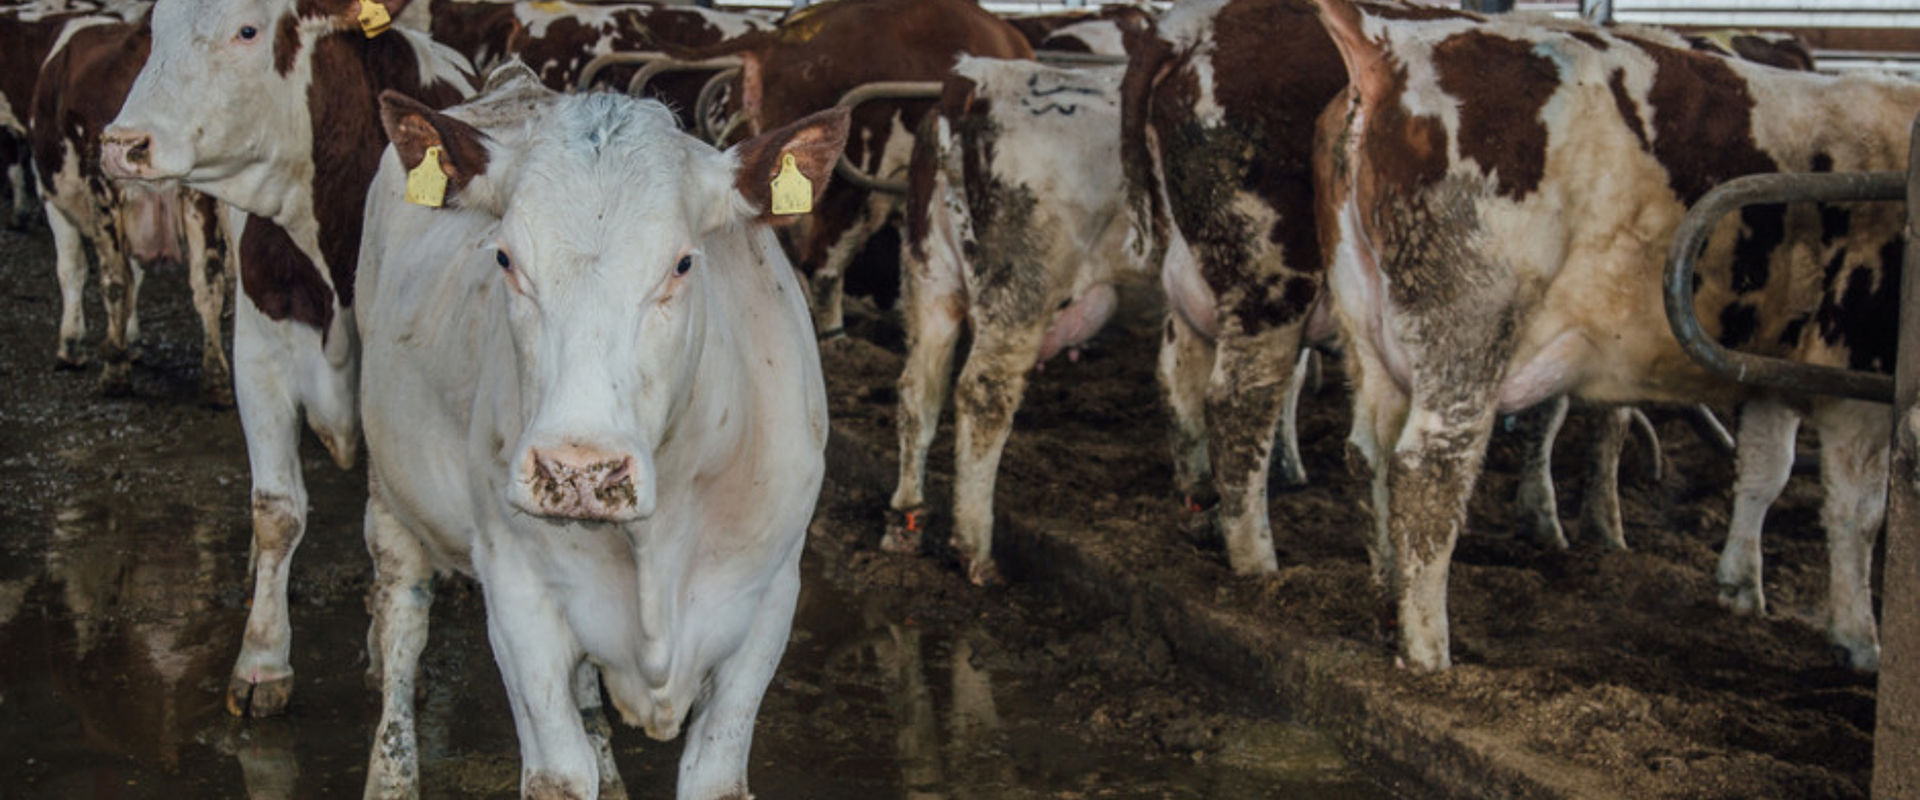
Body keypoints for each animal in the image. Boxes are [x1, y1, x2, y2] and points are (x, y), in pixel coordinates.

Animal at [30, 16, 233, 402]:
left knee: (113, 280)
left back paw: (114, 372)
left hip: (103, 190)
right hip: (198, 195)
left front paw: (74, 347)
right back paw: (216, 379)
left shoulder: (56, 198)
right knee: (207, 280)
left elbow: (76, 270)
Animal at [99, 0, 477, 715]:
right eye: (155, 27)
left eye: (248, 30)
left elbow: (379, 530)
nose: (121, 144)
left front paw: (383, 655)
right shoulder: (260, 356)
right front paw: (261, 659)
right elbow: (276, 511)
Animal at [354, 66, 844, 798]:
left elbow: (713, 773)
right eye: (504, 258)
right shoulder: (516, 593)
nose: (578, 472)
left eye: (683, 264)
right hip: (390, 491)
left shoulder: (769, 598)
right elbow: (559, 772)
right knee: (401, 624)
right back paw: (390, 768)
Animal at [1311, 0, 1914, 671]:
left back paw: (1386, 599)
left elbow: (1763, 472)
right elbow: (1859, 512)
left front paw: (1740, 586)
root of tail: (1388, 39)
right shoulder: (1862, 376)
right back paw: (1426, 649)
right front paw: (1860, 639)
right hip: (1465, 336)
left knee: (1368, 455)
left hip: (1369, 337)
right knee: (1427, 469)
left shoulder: (1768, 368)